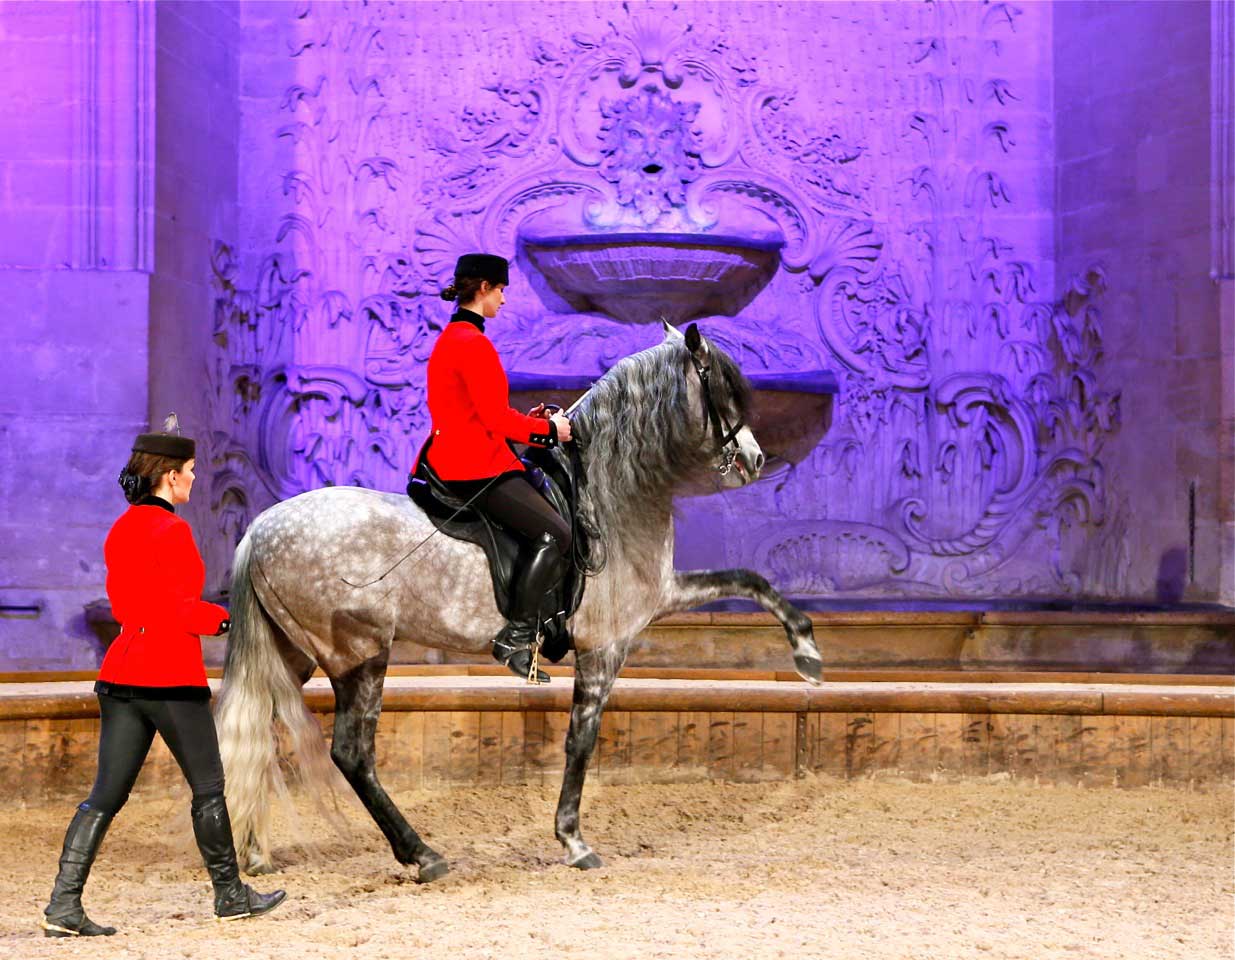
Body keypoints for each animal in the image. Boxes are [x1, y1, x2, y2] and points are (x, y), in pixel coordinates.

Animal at [214, 321, 823, 881]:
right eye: (719, 385)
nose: (755, 458)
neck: (608, 493)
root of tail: (261, 529)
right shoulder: (605, 646)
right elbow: (581, 740)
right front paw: (574, 842)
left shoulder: (657, 599)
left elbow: (748, 579)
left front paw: (807, 652)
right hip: (358, 654)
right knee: (351, 753)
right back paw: (422, 854)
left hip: (293, 653)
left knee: (256, 729)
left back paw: (255, 853)